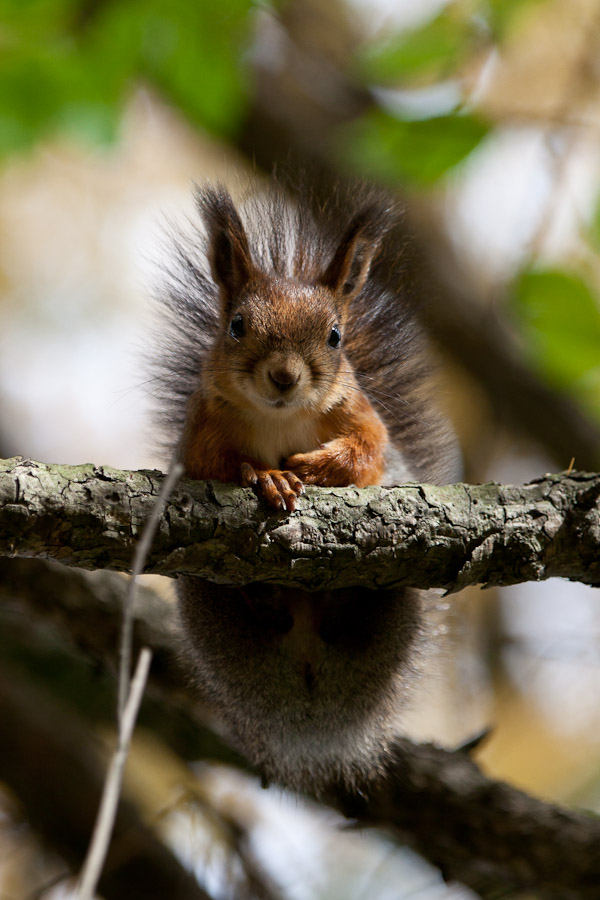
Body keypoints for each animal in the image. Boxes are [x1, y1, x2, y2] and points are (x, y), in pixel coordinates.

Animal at [152, 178, 462, 796]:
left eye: (336, 336)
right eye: (237, 325)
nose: (284, 377)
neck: (280, 418)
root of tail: (308, 684)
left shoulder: (364, 419)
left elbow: (367, 455)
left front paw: (318, 466)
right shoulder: (200, 432)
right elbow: (217, 463)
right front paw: (268, 475)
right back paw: (266, 597)